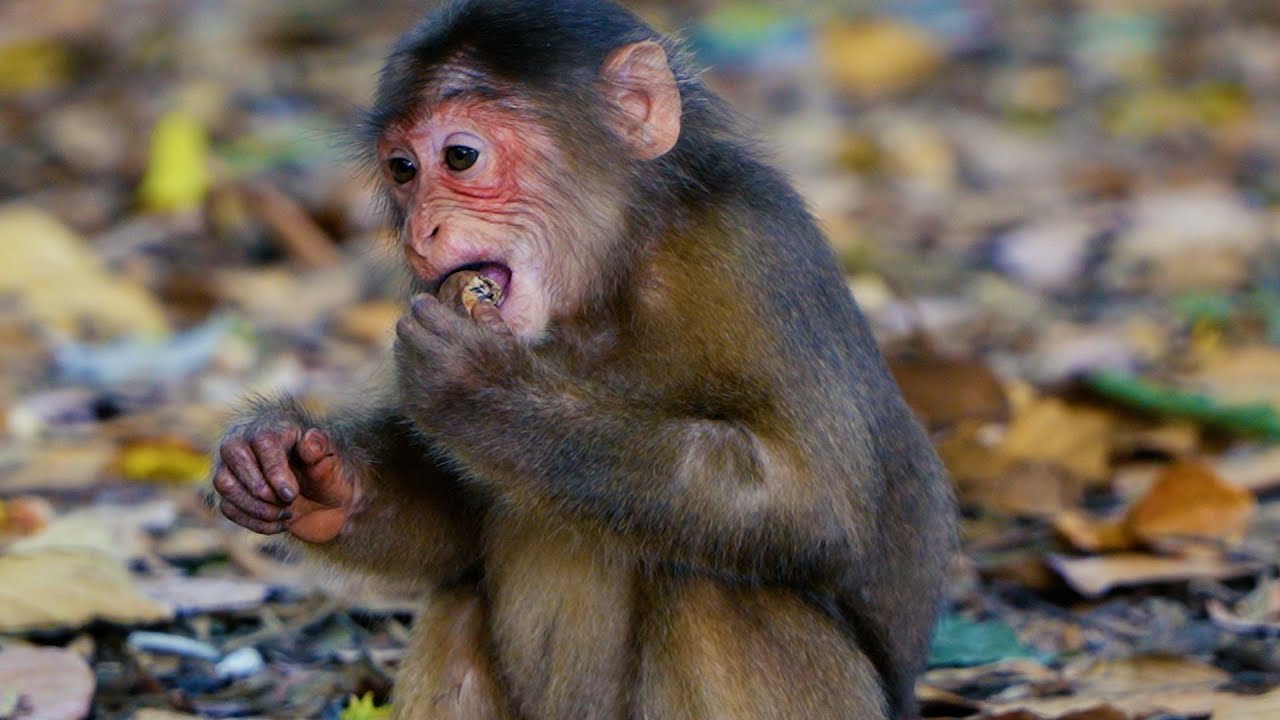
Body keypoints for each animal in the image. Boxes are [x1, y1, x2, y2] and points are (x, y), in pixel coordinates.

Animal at [212, 1, 957, 718]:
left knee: (716, 590)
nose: (422, 230)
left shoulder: (756, 251)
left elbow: (813, 503)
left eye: (460, 157)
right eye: (403, 170)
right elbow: (454, 534)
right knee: (459, 605)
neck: (610, 283)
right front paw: (305, 470)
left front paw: (483, 393)